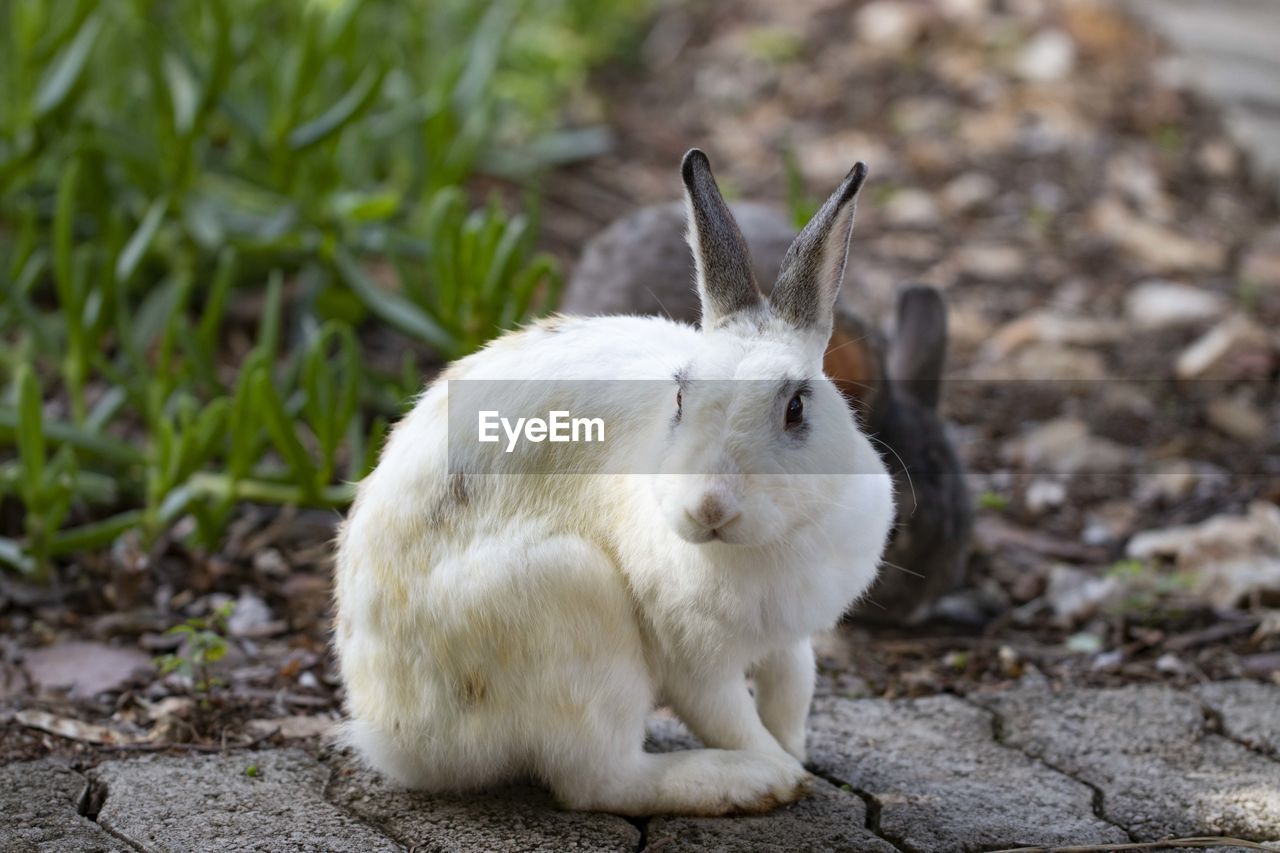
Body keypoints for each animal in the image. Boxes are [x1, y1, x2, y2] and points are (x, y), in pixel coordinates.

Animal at [332, 149, 890, 814]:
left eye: (797, 408)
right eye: (679, 399)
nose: (710, 508)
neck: (765, 545)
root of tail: (391, 735)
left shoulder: (791, 637)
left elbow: (792, 689)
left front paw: (796, 751)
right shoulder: (691, 663)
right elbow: (732, 719)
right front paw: (784, 770)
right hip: (573, 613)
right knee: (600, 779)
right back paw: (746, 782)